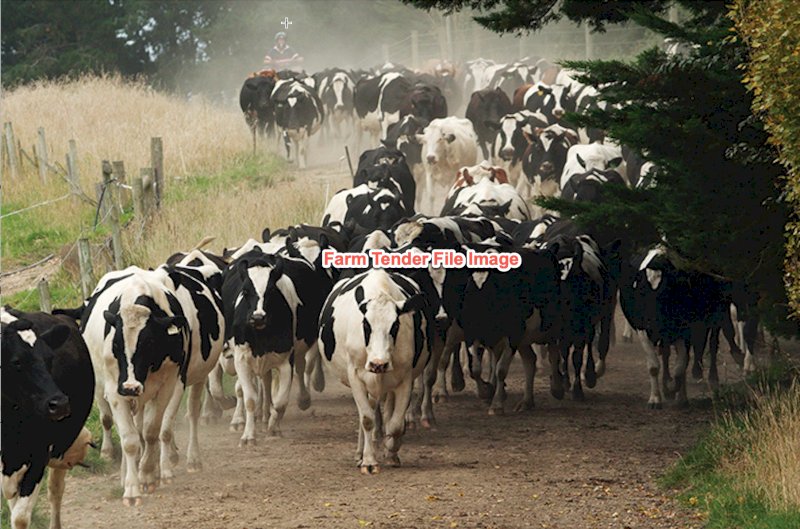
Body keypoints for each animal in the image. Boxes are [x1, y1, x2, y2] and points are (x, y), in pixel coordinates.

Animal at [1, 308, 94, 529]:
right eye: (16, 362)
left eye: (49, 358)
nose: (59, 404)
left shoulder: (38, 457)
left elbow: (20, 518)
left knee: (55, 490)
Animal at [221, 247, 331, 446]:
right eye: (246, 291)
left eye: (272, 289)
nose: (258, 317)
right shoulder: (241, 359)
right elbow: (249, 398)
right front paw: (248, 436)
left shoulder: (286, 360)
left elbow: (281, 401)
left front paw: (274, 427)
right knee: (261, 383)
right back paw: (254, 417)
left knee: (297, 369)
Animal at [318, 269, 432, 474]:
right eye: (366, 324)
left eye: (395, 325)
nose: (378, 364)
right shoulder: (355, 375)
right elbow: (367, 419)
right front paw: (369, 461)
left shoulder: (405, 379)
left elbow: (396, 424)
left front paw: (391, 452)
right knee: (367, 414)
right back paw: (360, 453)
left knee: (387, 414)